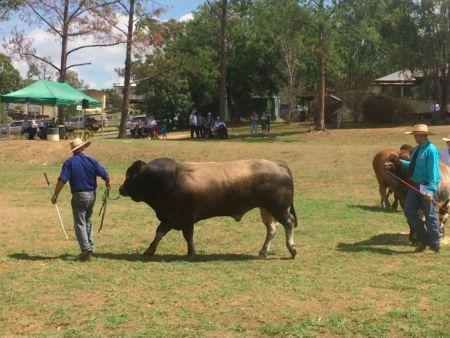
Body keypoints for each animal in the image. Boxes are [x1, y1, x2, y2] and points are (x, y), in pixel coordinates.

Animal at [118, 157, 298, 258]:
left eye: (129, 175)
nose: (121, 188)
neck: (168, 179)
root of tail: (277, 164)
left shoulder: (185, 217)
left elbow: (188, 235)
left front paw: (191, 252)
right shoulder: (170, 217)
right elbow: (159, 233)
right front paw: (150, 250)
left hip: (278, 208)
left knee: (288, 223)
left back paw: (292, 249)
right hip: (266, 208)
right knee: (272, 228)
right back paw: (263, 251)